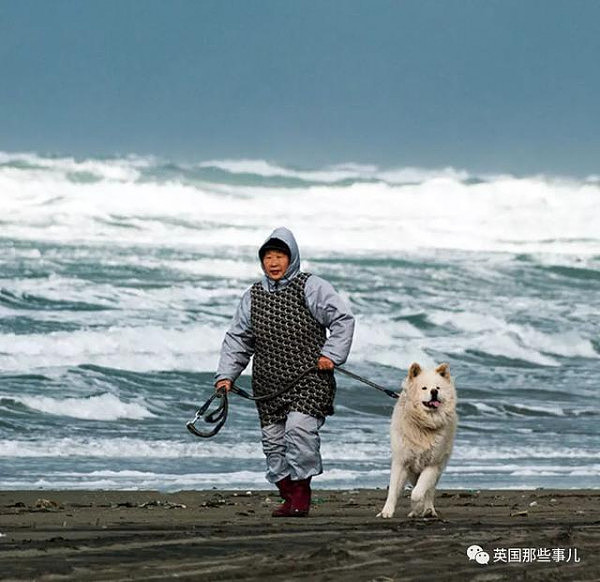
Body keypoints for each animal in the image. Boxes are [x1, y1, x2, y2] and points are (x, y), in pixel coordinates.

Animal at [378, 364, 458, 520]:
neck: (423, 425)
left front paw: (418, 504)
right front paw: (386, 511)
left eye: (438, 388)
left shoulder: (433, 463)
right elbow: (393, 491)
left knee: (429, 490)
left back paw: (428, 510)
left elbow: (420, 489)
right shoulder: (401, 461)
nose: (434, 391)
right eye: (424, 388)